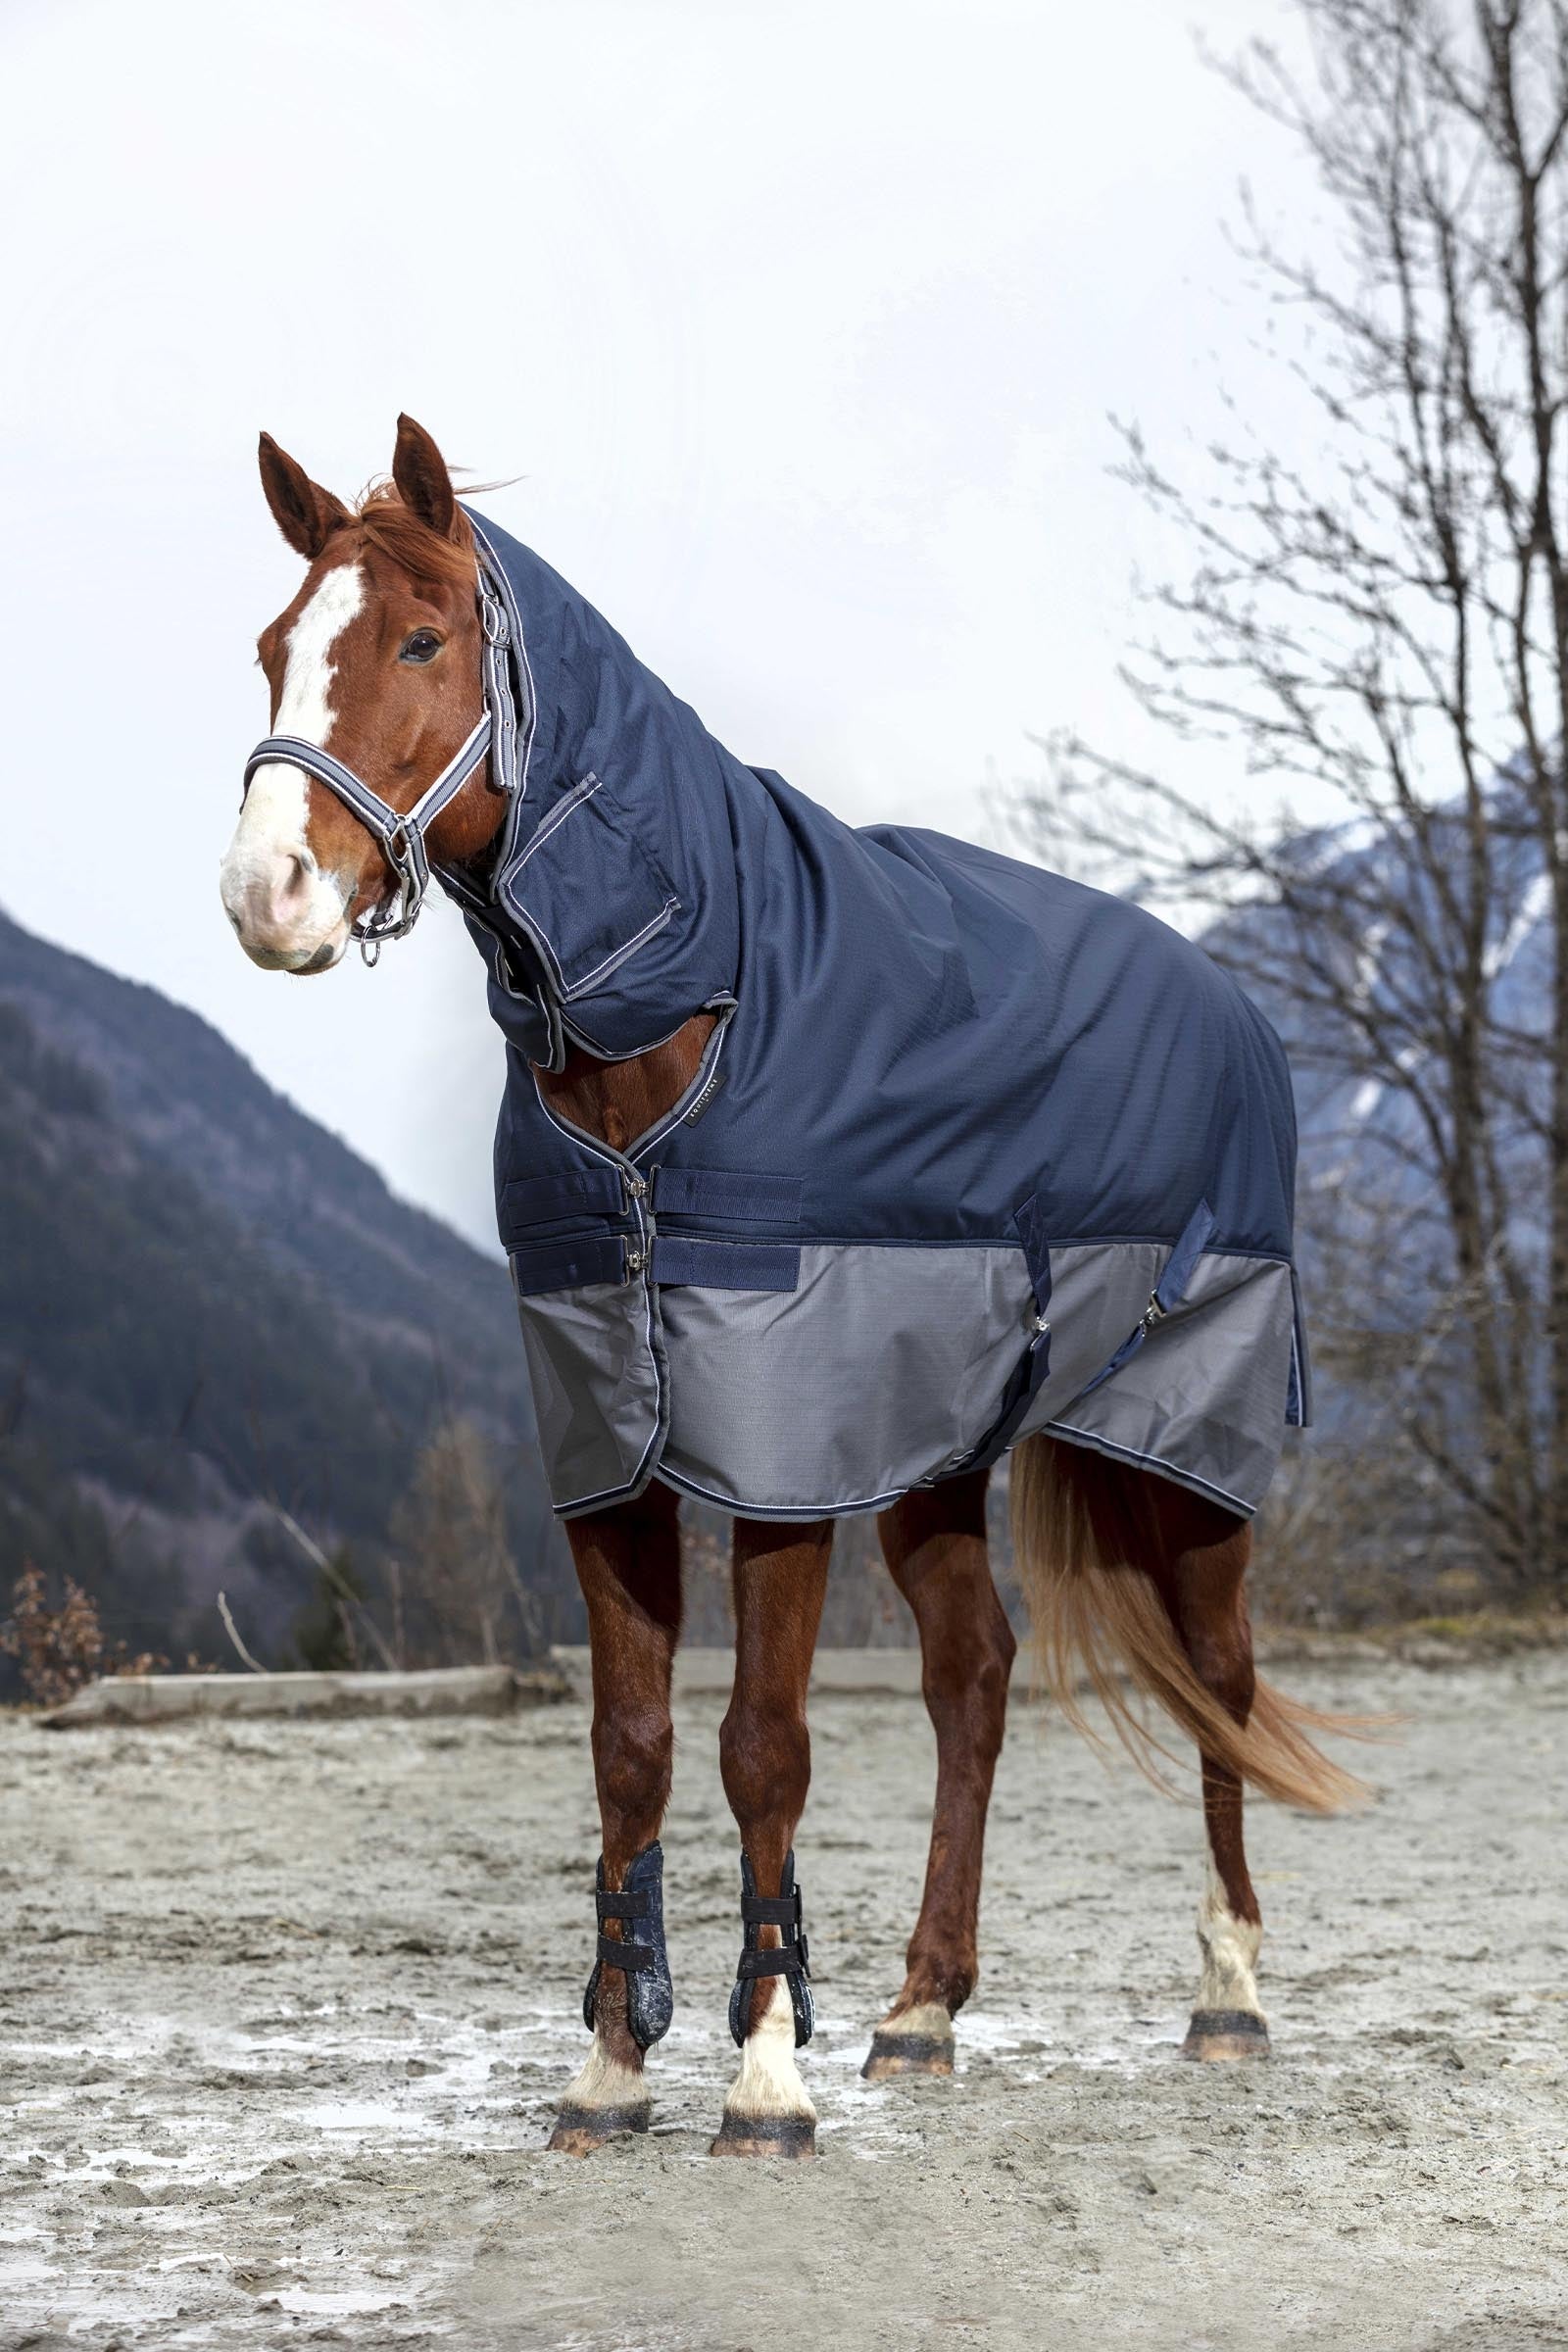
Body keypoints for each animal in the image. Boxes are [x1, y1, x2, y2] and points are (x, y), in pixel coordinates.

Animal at [219, 415, 1359, 2160]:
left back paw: (1227, 1996)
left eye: (416, 641)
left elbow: (763, 1747)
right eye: (276, 647)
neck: (688, 1021)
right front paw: (612, 2067)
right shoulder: (609, 1449)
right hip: (940, 1452)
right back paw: (921, 2011)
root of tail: (1229, 1006)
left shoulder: (780, 1463)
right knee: (973, 1682)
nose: (265, 891)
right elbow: (630, 1750)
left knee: (1220, 1683)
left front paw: (762, 2074)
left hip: (1185, 1449)